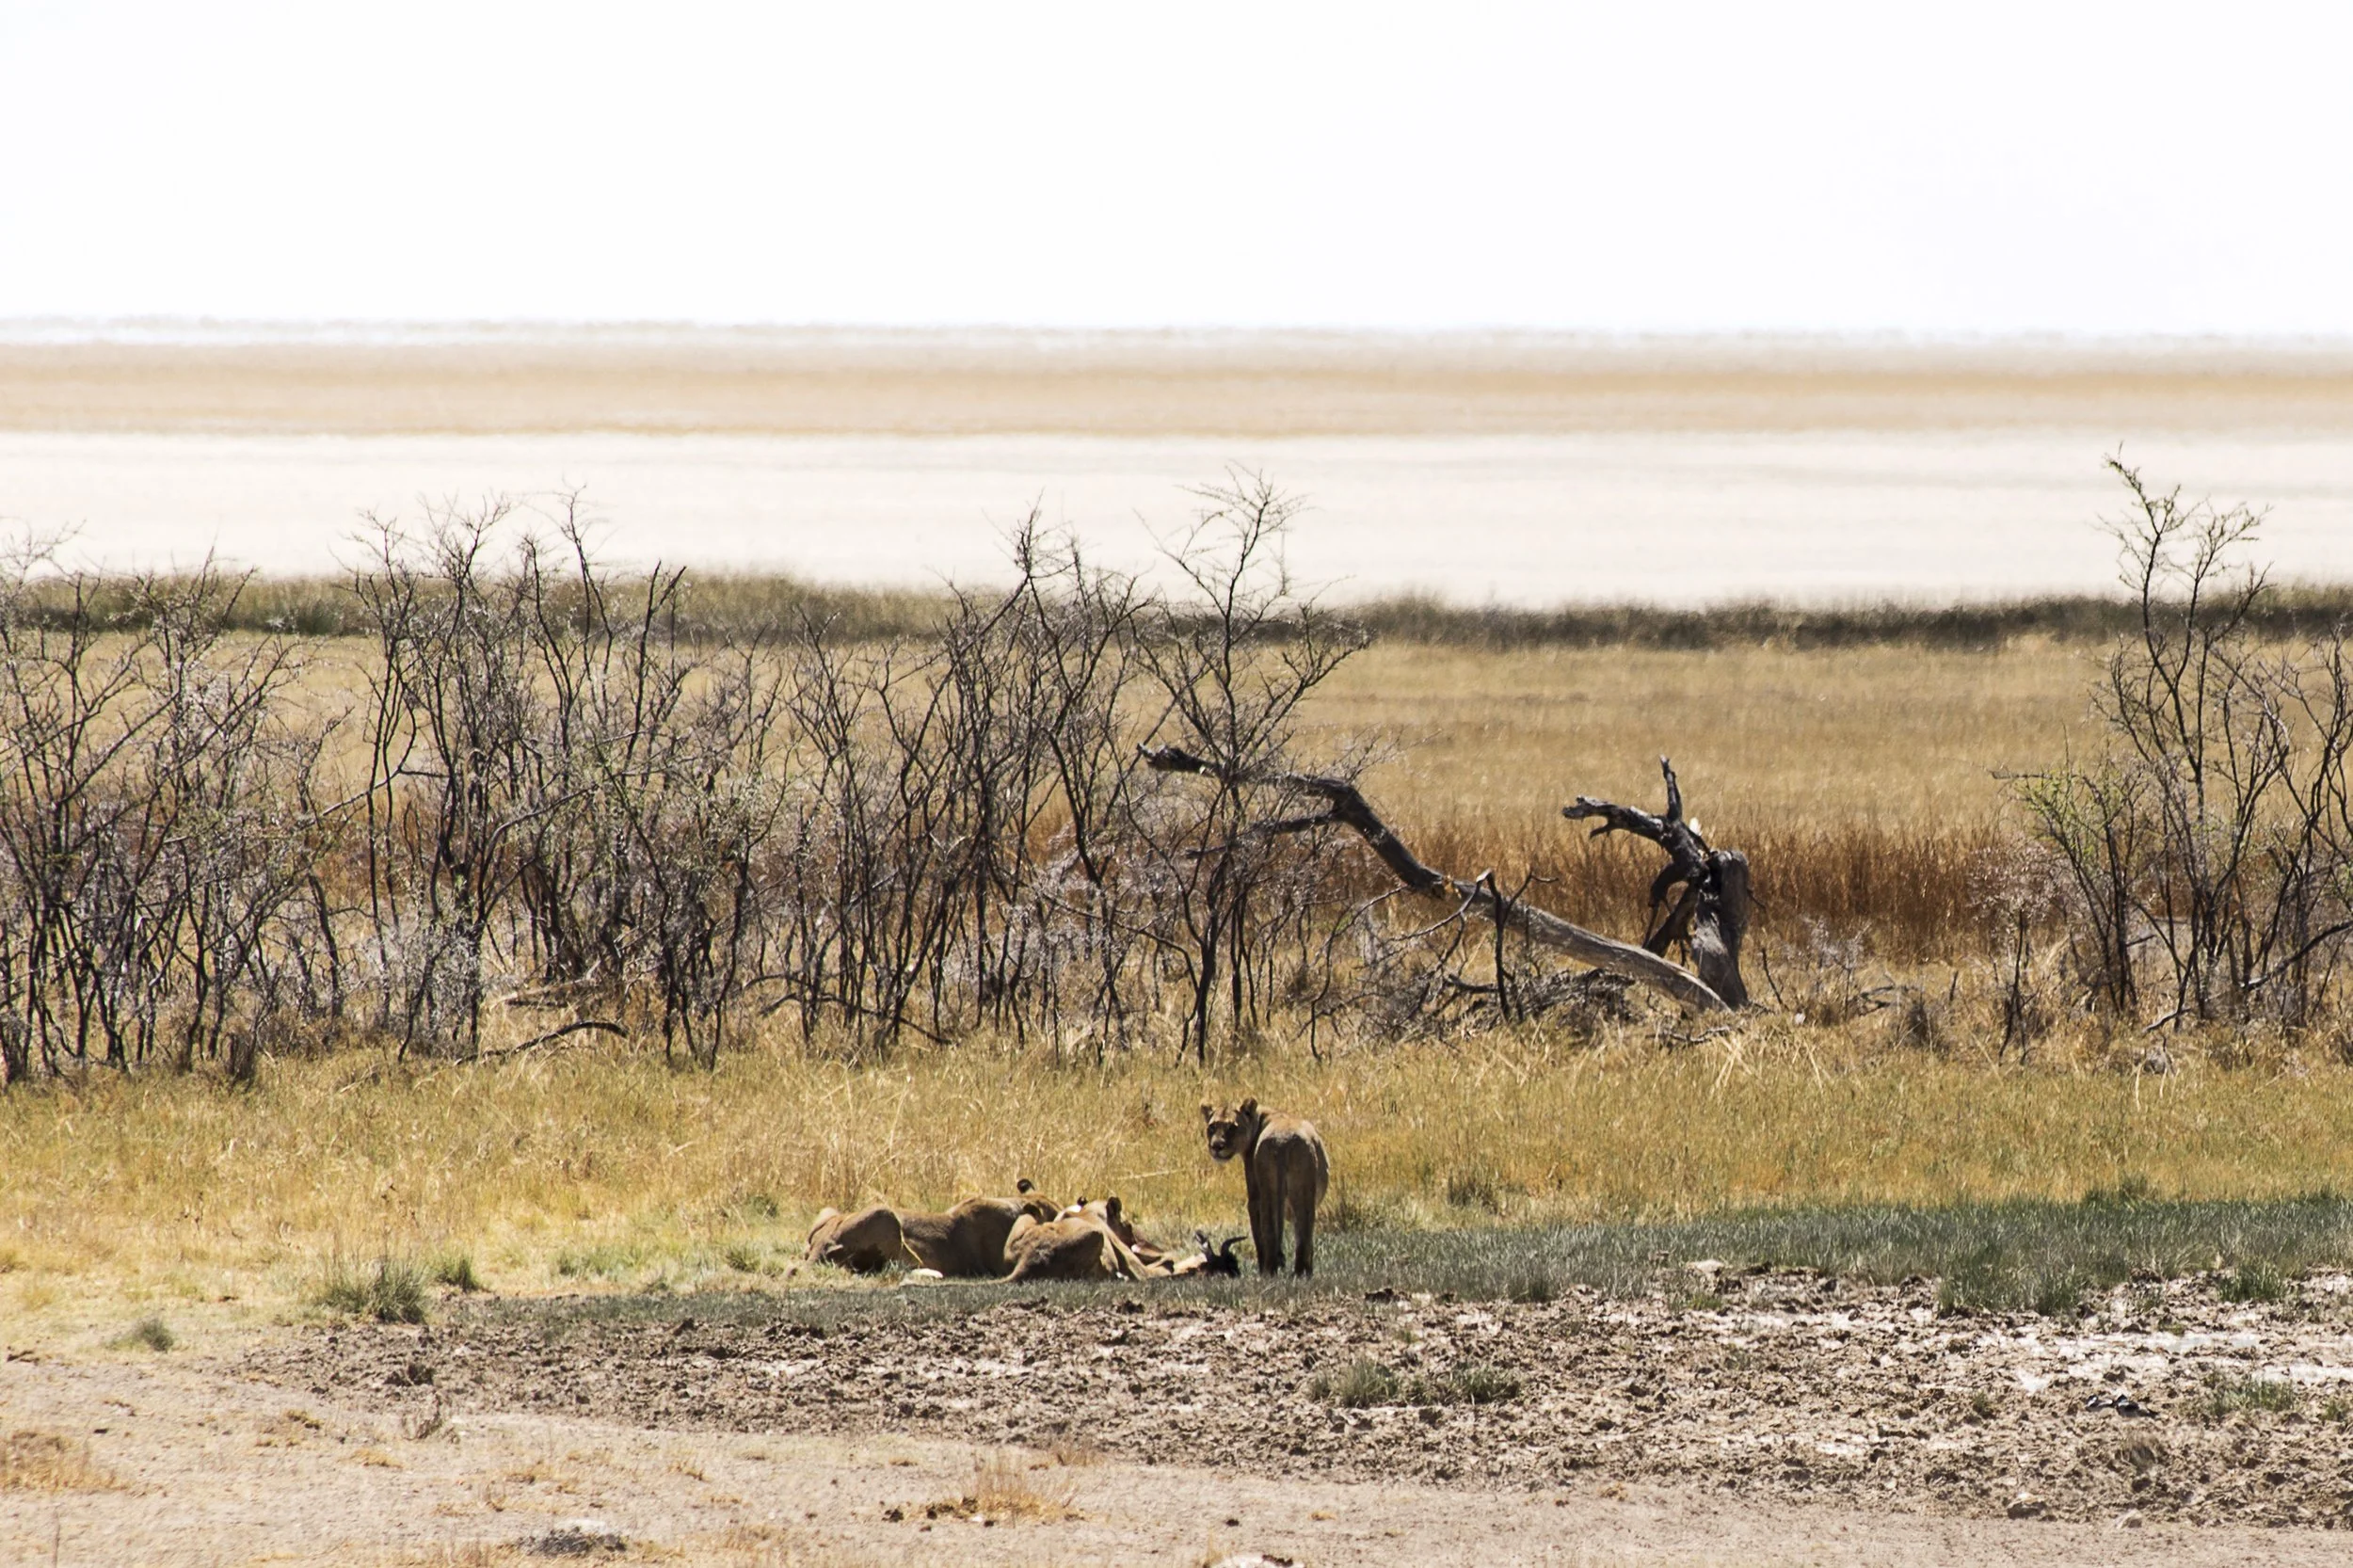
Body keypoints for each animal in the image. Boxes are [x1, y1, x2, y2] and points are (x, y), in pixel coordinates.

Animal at [1202, 1097, 1329, 1275]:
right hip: (1303, 1191)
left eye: (1232, 1127)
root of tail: (1283, 1141)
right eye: (1212, 1127)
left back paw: (1268, 1273)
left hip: (1267, 1188)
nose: (1216, 1147)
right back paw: (1302, 1274)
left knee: (1269, 1233)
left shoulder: (1253, 1191)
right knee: (1304, 1235)